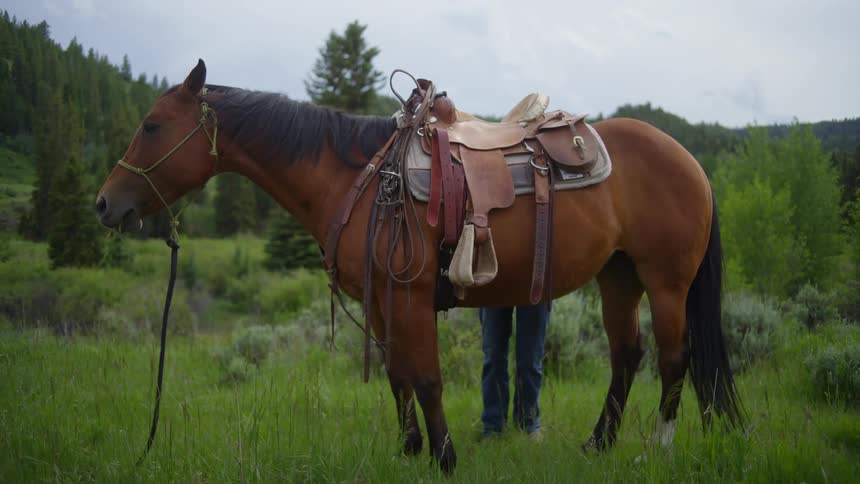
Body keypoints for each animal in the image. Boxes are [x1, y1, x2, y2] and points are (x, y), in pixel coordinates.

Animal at [95, 60, 743, 473]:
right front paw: (409, 449)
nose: (104, 204)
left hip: (666, 281)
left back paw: (656, 447)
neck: (357, 179)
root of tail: (689, 159)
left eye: (151, 126)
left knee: (674, 358)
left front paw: (445, 457)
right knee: (626, 354)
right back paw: (598, 445)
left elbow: (427, 376)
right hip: (619, 276)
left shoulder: (407, 295)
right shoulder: (382, 301)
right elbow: (397, 374)